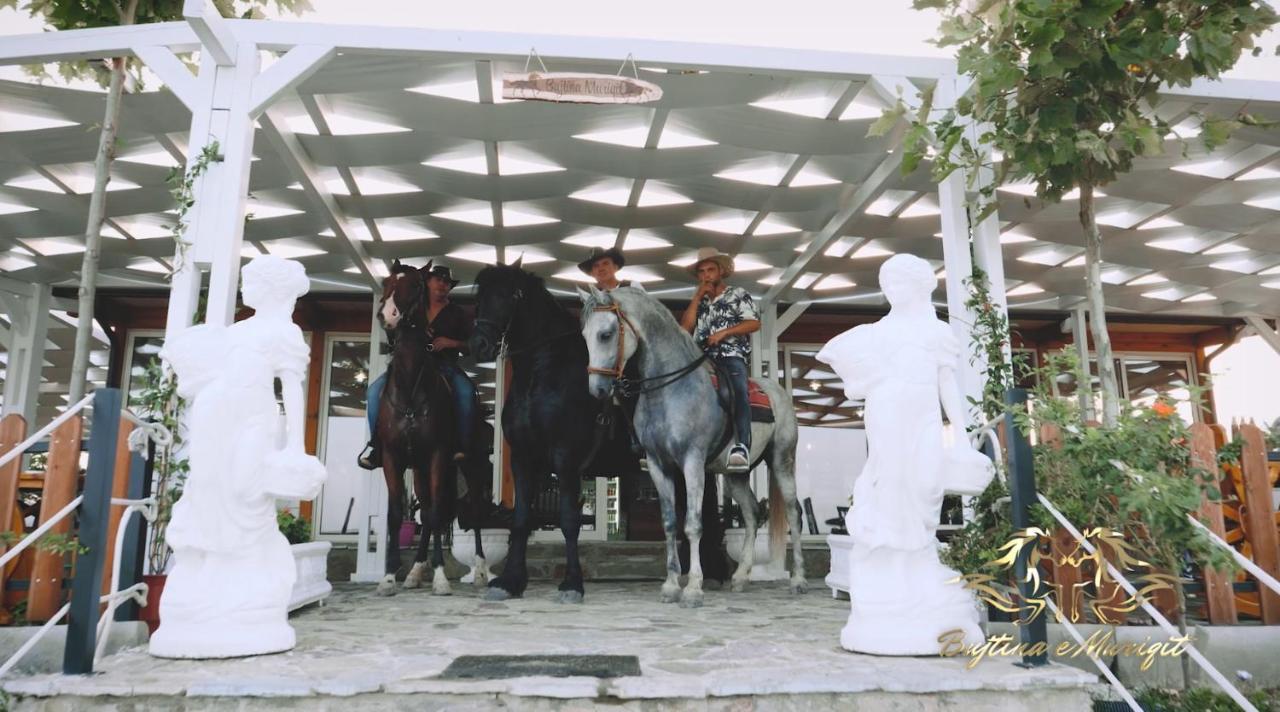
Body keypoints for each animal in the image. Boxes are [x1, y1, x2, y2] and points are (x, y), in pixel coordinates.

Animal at [471, 261, 732, 601]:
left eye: (511, 294)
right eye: (480, 295)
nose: (479, 344)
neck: (543, 375)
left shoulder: (565, 459)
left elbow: (569, 521)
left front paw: (572, 583)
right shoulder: (523, 458)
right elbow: (521, 519)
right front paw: (510, 581)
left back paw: (710, 574)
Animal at [583, 284, 808, 606]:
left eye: (605, 334)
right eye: (584, 334)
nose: (598, 389)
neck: (670, 389)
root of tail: (779, 391)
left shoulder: (692, 463)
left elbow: (693, 524)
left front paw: (692, 589)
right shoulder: (658, 465)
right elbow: (669, 524)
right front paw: (670, 586)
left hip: (781, 461)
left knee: (793, 513)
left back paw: (799, 580)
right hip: (735, 475)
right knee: (752, 514)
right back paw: (741, 577)